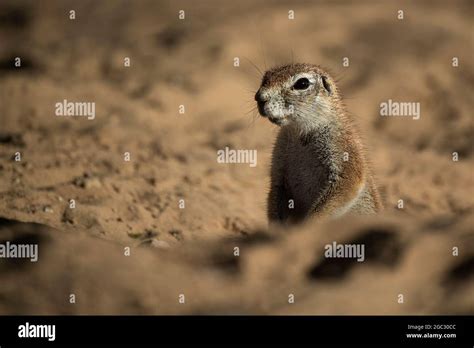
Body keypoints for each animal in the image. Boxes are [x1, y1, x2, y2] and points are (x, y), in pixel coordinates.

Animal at [256, 63, 382, 224]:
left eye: (302, 83)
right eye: (265, 77)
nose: (259, 98)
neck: (299, 132)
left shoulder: (343, 149)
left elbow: (346, 184)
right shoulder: (279, 163)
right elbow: (275, 192)